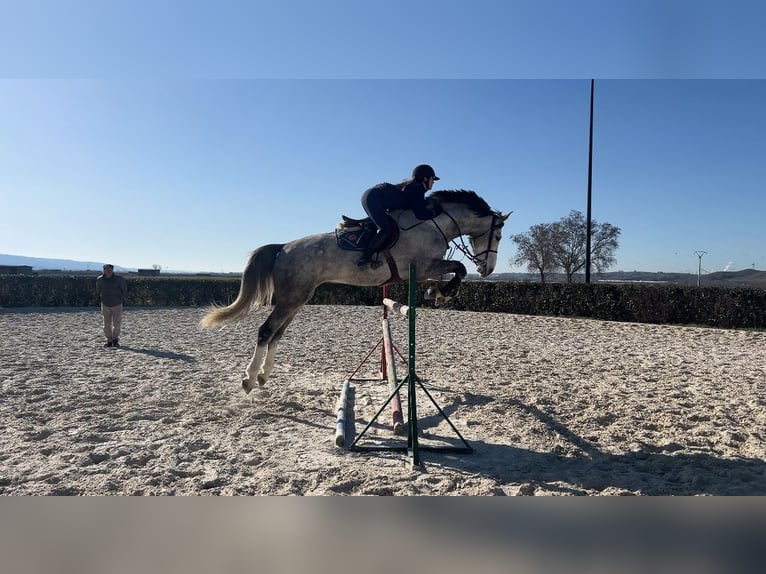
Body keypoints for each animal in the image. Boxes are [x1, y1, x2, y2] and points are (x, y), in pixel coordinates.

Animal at [200, 189, 510, 393]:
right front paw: (443, 292)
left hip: (298, 297)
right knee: (266, 331)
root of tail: (283, 247)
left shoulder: (426, 269)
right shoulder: (423, 266)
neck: (434, 223)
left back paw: (264, 376)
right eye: (497, 235)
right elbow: (459, 268)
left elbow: (456, 271)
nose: (487, 269)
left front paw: (439, 292)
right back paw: (250, 378)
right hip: (292, 298)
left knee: (276, 333)